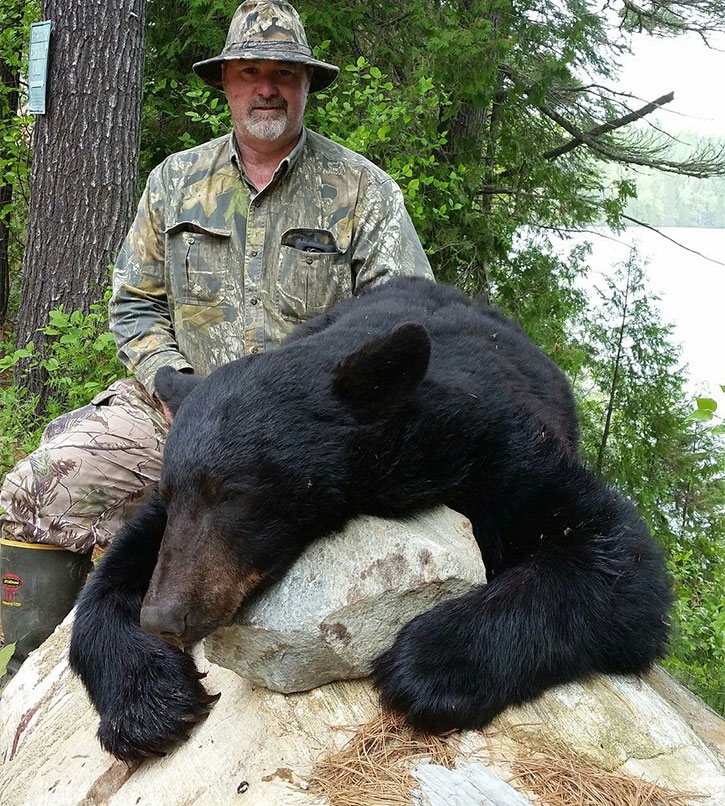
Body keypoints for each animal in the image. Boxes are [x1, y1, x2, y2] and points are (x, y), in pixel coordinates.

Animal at [69, 277, 672, 763]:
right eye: (172, 492)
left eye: (235, 494)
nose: (164, 617)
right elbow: (112, 576)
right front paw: (149, 704)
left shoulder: (497, 450)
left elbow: (617, 555)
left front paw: (427, 664)